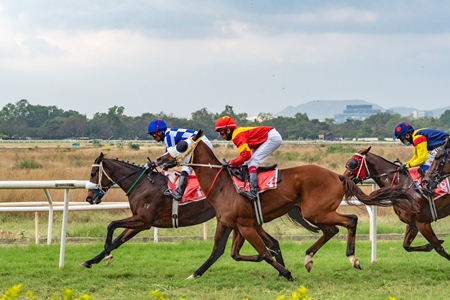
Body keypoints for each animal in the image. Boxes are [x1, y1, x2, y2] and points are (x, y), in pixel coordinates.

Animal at [80, 152, 306, 274]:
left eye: (93, 172)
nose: (89, 198)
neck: (143, 184)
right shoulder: (140, 222)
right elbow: (119, 239)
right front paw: (90, 260)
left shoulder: (143, 221)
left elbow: (111, 226)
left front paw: (106, 254)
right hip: (245, 221)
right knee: (272, 243)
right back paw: (280, 270)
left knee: (269, 244)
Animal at [156, 130, 418, 280]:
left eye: (181, 145)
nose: (160, 159)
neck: (222, 184)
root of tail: (338, 176)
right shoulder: (234, 224)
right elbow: (221, 253)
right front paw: (194, 274)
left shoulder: (246, 225)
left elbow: (261, 252)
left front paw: (286, 273)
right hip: (314, 212)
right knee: (332, 230)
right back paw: (309, 258)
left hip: (316, 210)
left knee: (349, 221)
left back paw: (352, 258)